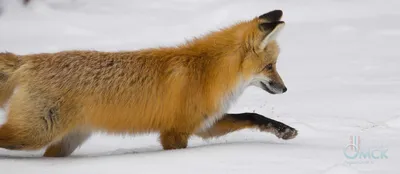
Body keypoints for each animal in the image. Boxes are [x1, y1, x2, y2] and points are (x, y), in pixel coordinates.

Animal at [0, 9, 296, 157]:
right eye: (270, 67)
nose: (285, 89)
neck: (208, 71)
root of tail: (29, 59)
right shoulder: (174, 133)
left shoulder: (203, 125)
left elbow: (251, 116)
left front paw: (284, 131)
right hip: (34, 134)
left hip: (64, 142)